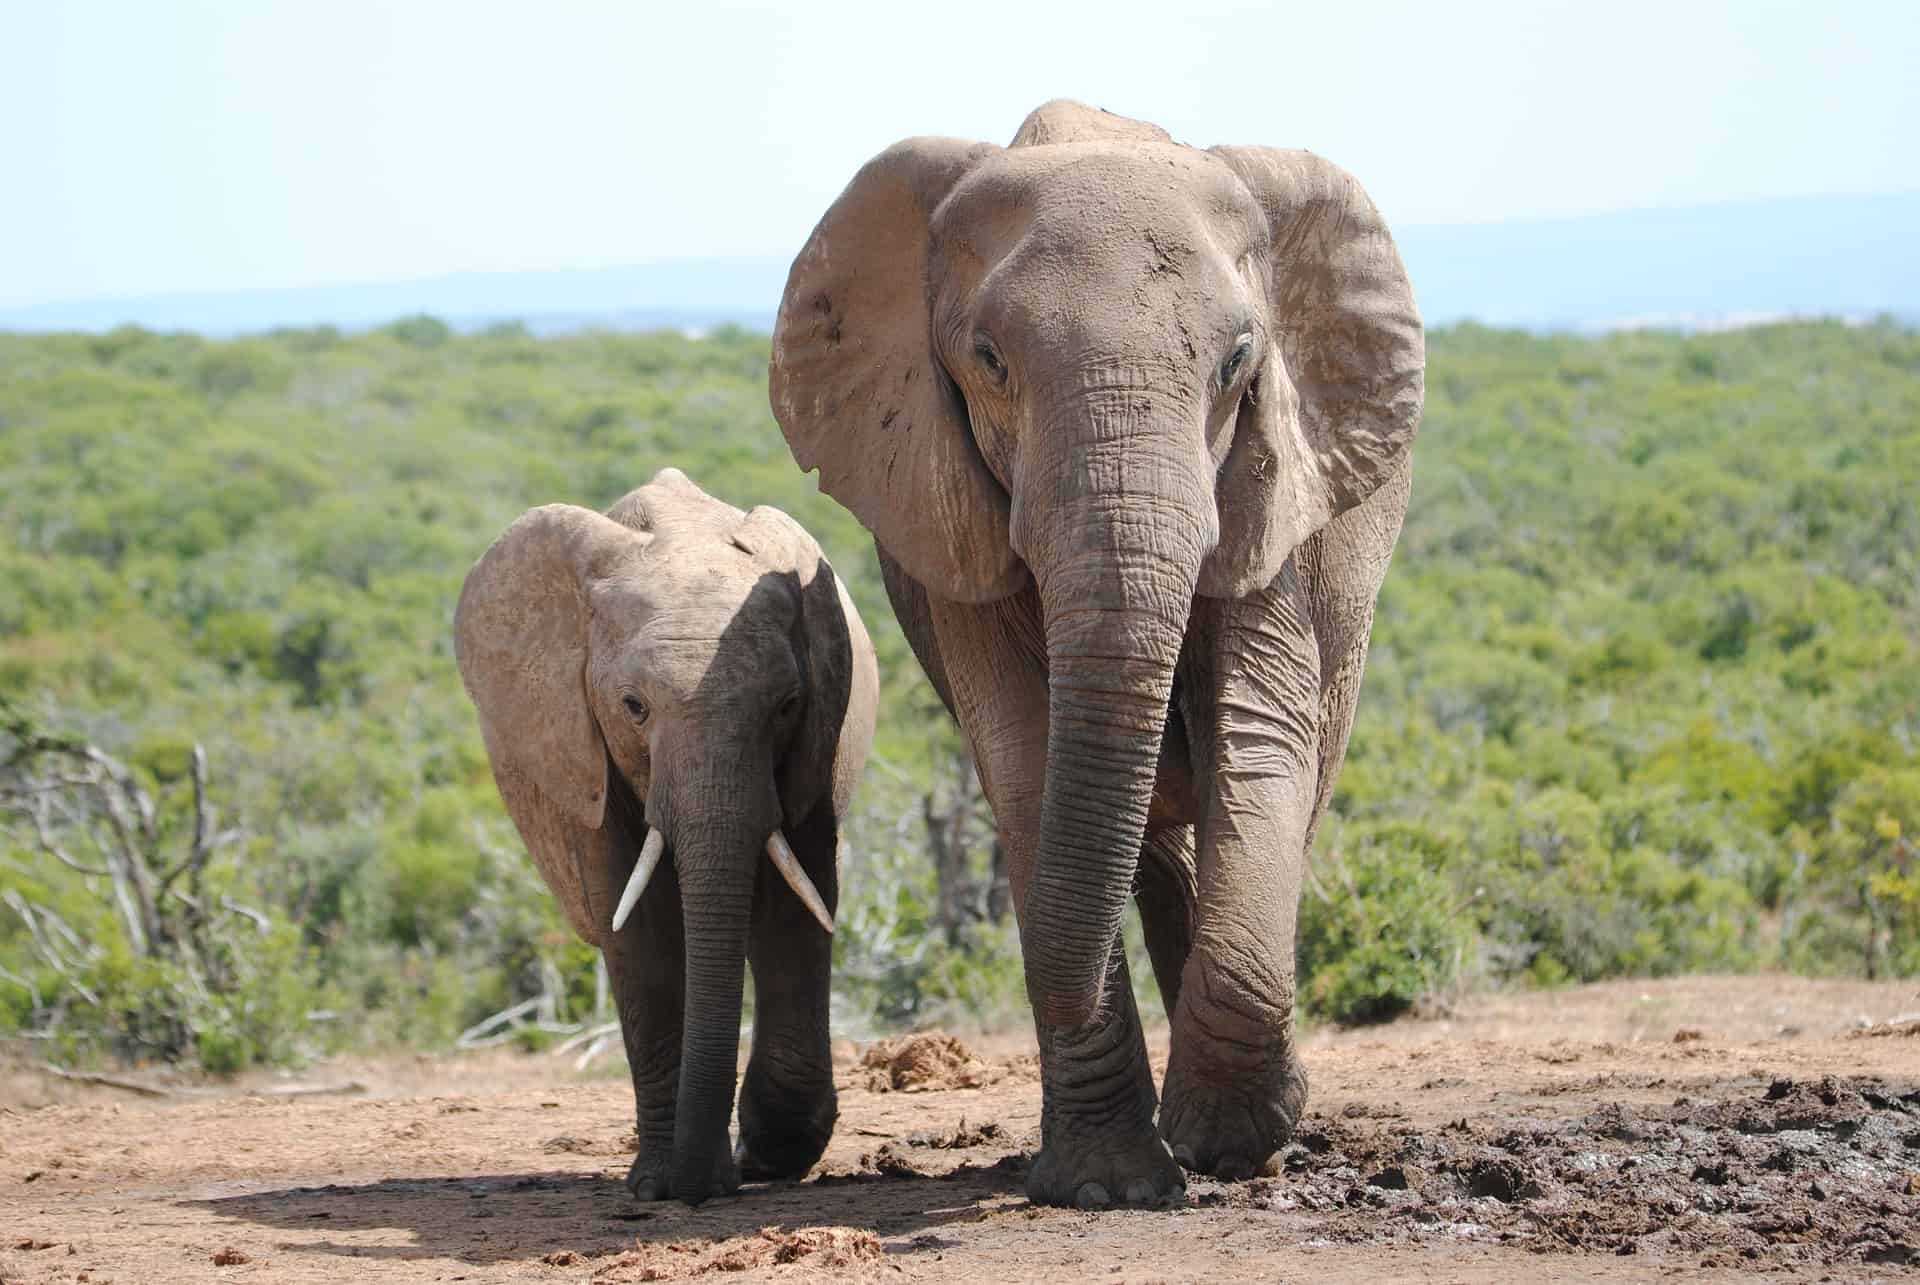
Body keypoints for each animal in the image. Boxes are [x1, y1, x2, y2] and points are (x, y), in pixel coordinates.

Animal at [460, 468, 879, 1206]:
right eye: (634, 707)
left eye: (787, 706)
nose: (706, 1184)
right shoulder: (581, 749)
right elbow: (639, 925)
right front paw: (660, 1184)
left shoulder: (816, 738)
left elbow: (796, 904)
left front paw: (768, 1154)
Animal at [768, 97, 1428, 1206]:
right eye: (989, 359)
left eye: (1237, 361)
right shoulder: (953, 519)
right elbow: (1027, 762)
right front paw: (1111, 1184)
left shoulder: (1272, 493)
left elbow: (1259, 736)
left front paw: (1230, 1143)